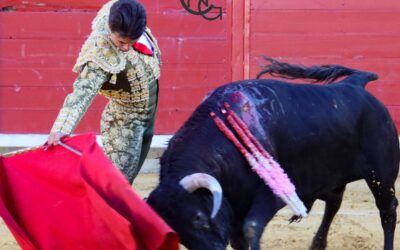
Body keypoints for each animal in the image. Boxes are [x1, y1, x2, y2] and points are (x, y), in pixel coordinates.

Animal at [148, 57, 400, 250]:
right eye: (179, 235)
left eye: (199, 218)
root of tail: (355, 84)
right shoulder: (236, 205)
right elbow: (239, 239)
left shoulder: (270, 195)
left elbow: (251, 228)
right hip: (329, 174)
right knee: (334, 202)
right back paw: (317, 244)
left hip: (381, 175)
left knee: (387, 210)